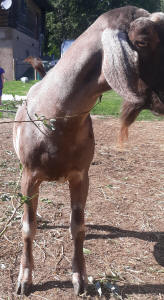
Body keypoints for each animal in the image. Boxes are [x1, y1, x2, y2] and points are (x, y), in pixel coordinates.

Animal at [13, 6, 164, 296]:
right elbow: (28, 228)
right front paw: (24, 278)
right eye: (142, 41)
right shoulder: (30, 175)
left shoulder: (81, 176)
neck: (56, 119)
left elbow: (79, 228)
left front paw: (80, 278)